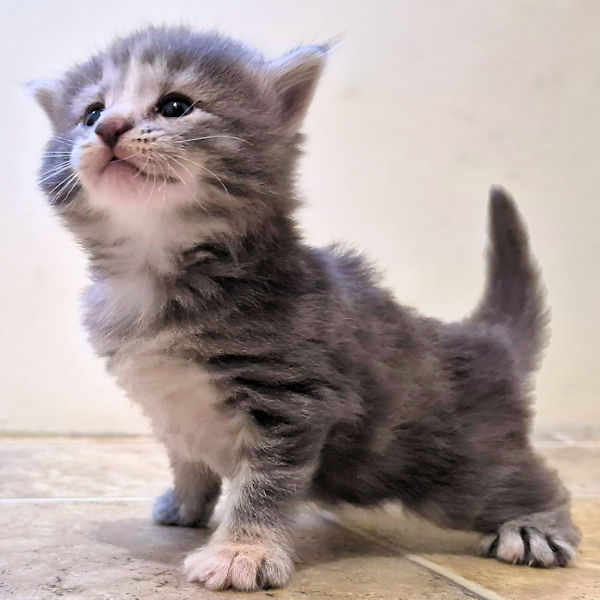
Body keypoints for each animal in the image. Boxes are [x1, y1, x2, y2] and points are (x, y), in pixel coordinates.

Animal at [31, 26, 580, 592]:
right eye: (91, 113)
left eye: (176, 106)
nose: (109, 128)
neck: (154, 266)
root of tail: (482, 339)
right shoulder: (169, 403)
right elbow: (188, 457)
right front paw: (185, 504)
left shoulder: (292, 396)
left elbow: (264, 484)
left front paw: (243, 552)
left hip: (461, 468)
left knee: (531, 481)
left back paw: (535, 527)